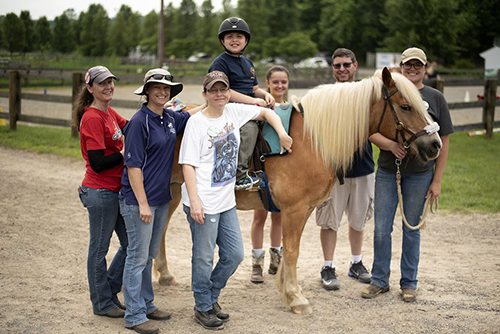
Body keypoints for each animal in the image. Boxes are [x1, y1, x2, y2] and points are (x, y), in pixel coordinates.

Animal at [152, 68, 442, 314]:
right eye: (405, 106)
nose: (435, 145)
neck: (310, 140)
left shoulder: (304, 209)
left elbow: (292, 250)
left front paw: (290, 291)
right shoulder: (295, 209)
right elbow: (292, 251)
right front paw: (295, 297)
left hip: (173, 193)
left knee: (161, 230)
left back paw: (164, 275)